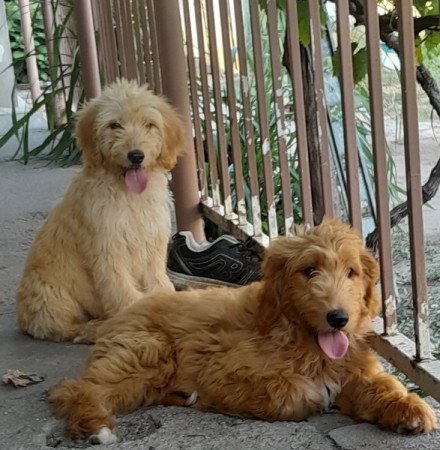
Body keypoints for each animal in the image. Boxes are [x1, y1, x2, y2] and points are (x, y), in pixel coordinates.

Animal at [16, 79, 185, 342]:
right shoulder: (108, 248)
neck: (130, 197)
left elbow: (158, 282)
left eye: (149, 125)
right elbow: (122, 291)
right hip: (51, 294)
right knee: (65, 328)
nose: (136, 156)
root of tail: (22, 319)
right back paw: (96, 328)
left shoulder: (153, 243)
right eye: (115, 125)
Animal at [49, 220, 436, 442]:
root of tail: (123, 313)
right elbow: (293, 394)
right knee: (78, 388)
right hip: (146, 352)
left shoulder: (355, 370)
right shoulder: (224, 370)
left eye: (351, 272)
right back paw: (95, 425)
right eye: (309, 271)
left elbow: (383, 384)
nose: (338, 318)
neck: (302, 339)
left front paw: (409, 409)